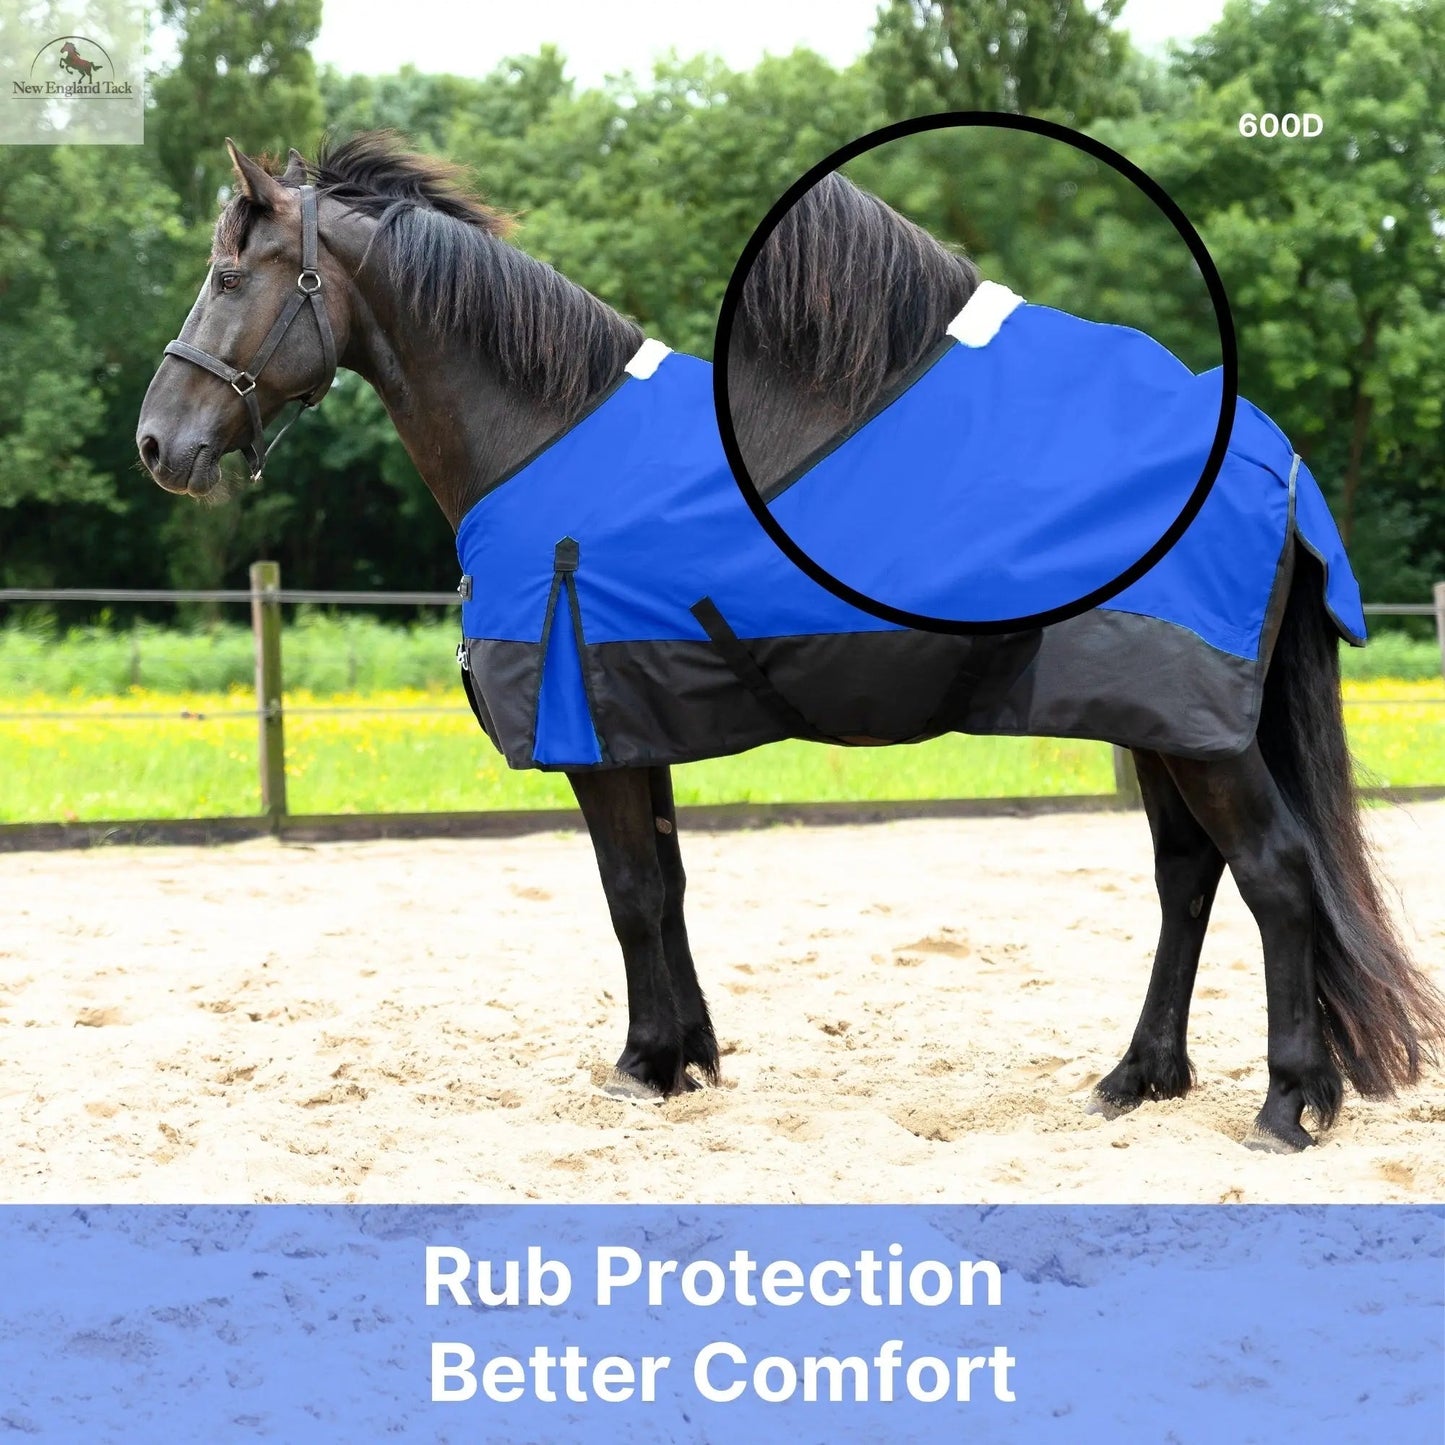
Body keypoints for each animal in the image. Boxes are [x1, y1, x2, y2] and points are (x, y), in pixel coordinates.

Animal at [136, 134, 1444, 1153]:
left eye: (226, 273)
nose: (158, 443)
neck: (546, 434)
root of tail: (1268, 453)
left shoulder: (592, 731)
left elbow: (625, 893)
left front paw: (642, 1064)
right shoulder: (633, 719)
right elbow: (663, 887)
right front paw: (688, 1056)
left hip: (1194, 725)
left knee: (1272, 873)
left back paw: (1286, 1105)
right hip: (1159, 718)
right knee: (1188, 877)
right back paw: (1135, 1079)